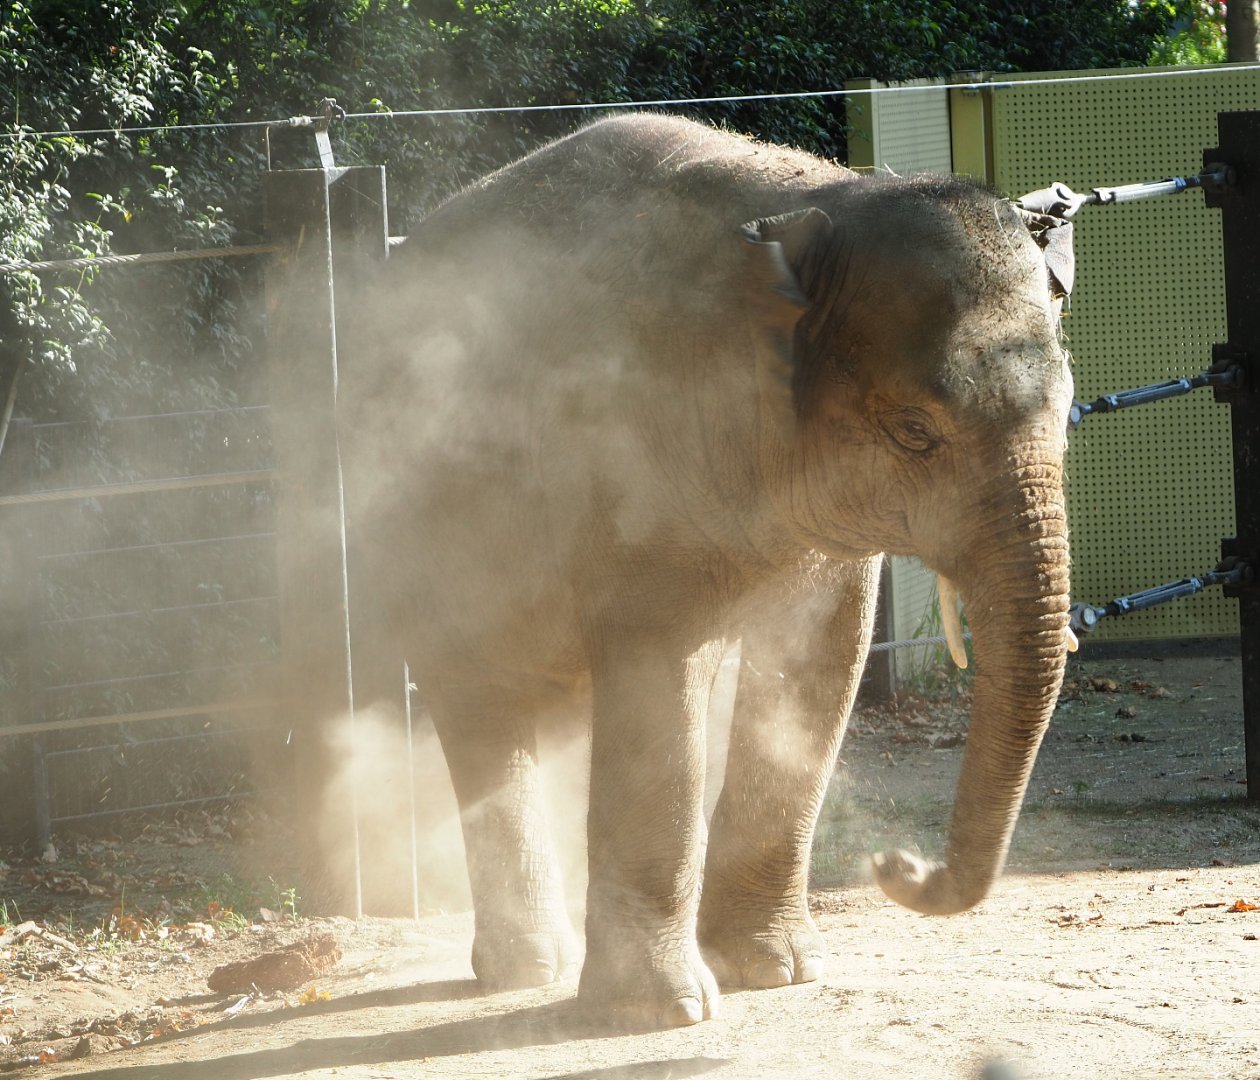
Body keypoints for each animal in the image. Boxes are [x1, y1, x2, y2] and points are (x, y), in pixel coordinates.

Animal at [337, 112, 1076, 1030]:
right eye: (914, 431)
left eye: (1070, 409)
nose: (895, 865)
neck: (816, 210)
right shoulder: (635, 447)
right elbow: (663, 686)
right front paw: (663, 1014)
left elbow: (818, 669)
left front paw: (780, 973)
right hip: (412, 522)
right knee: (479, 701)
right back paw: (528, 968)